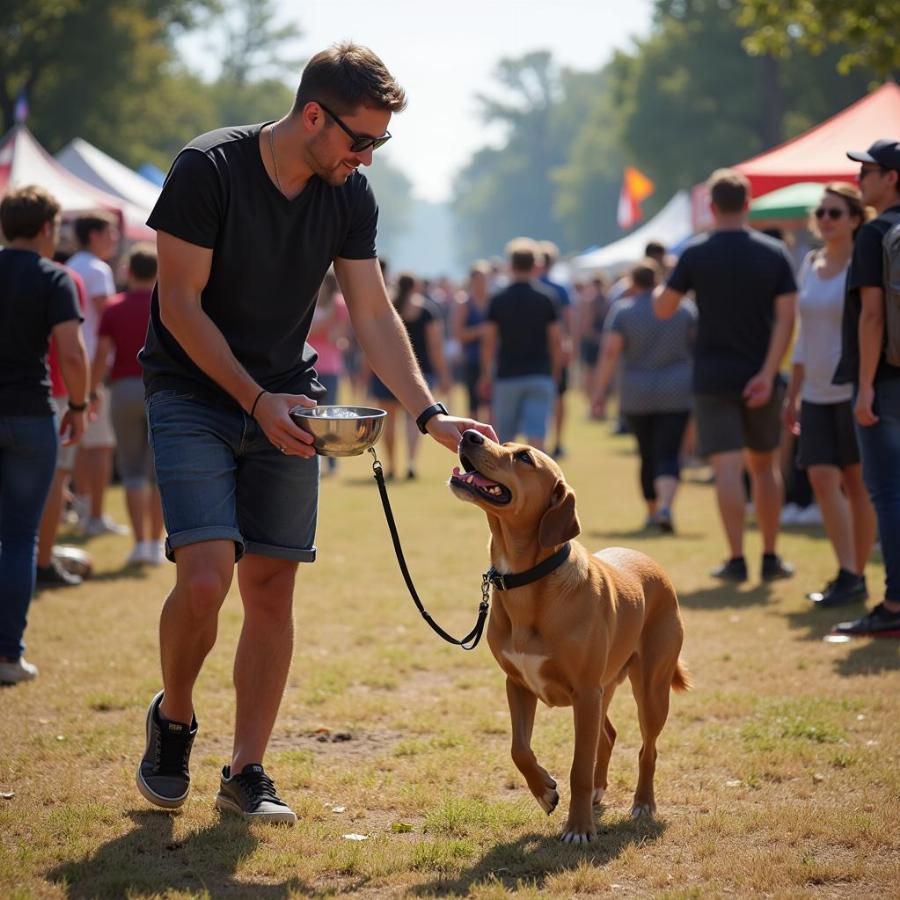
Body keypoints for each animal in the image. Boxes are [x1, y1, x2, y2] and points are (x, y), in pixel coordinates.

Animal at [450, 428, 688, 844]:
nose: (469, 433)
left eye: (524, 458)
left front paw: (578, 828)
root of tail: (651, 561)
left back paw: (643, 803)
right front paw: (544, 790)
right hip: (606, 688)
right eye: (503, 442)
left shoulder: (585, 692)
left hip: (650, 689)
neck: (527, 581)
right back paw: (598, 790)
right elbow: (518, 749)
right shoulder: (518, 684)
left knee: (648, 748)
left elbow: (579, 767)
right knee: (607, 736)